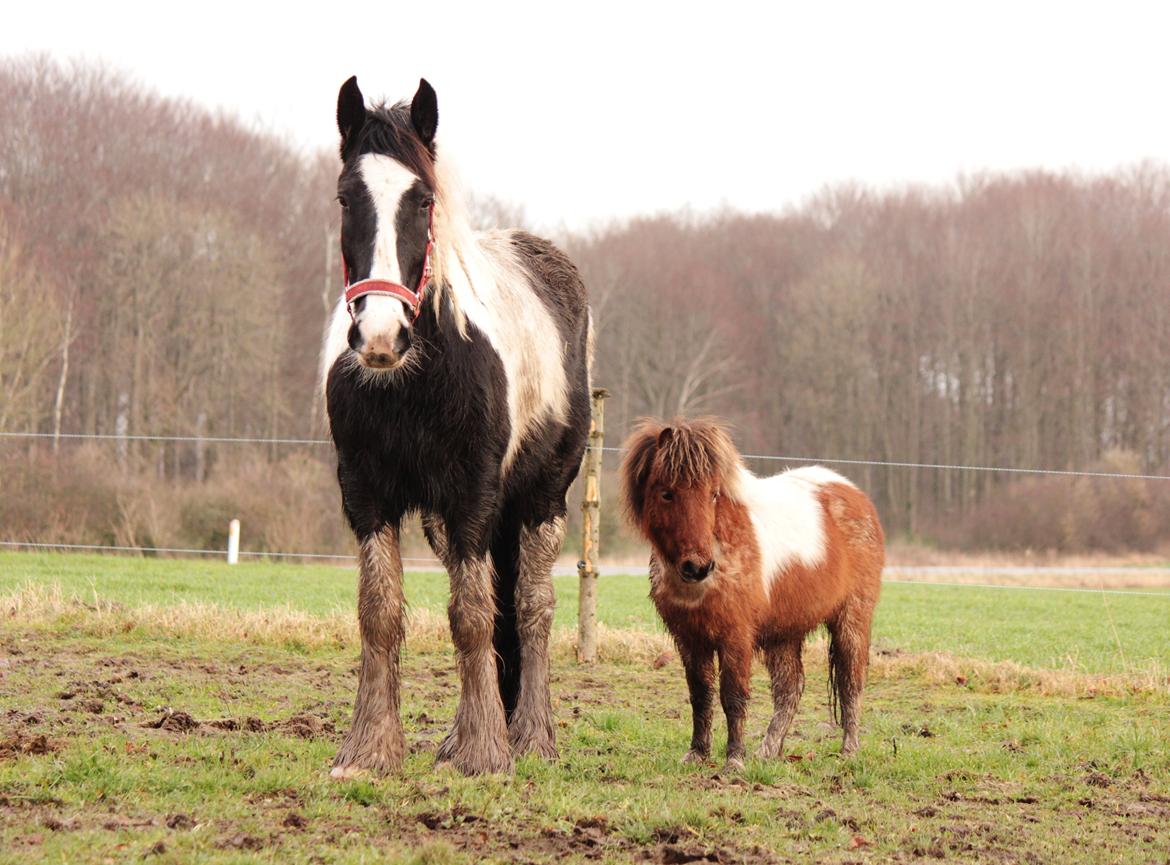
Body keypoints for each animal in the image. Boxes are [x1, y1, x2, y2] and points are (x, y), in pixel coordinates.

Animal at [320, 76, 589, 777]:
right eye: (345, 196)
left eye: (424, 199)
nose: (380, 335)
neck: (413, 382)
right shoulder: (367, 494)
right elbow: (380, 613)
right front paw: (370, 748)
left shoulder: (473, 494)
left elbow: (472, 616)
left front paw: (485, 753)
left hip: (541, 501)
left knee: (531, 607)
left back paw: (531, 735)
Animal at [622, 419, 879, 772]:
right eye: (666, 494)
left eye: (714, 494)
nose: (698, 567)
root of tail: (854, 493)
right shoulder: (690, 639)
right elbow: (700, 694)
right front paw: (698, 753)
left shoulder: (736, 637)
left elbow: (732, 695)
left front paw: (734, 760)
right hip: (784, 633)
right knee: (790, 688)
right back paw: (768, 752)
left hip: (851, 618)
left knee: (850, 682)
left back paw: (848, 752)